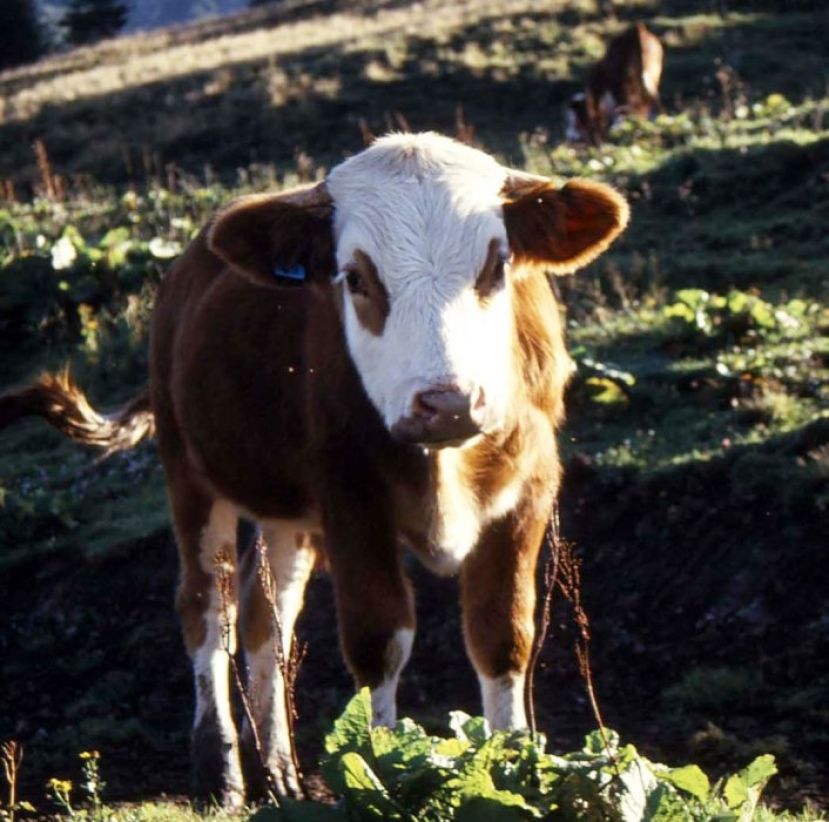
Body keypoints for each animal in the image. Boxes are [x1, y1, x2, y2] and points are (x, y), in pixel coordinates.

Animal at [3, 134, 628, 804]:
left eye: (496, 266)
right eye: (354, 277)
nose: (447, 402)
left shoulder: (528, 490)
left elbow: (502, 636)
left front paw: (516, 768)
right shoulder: (350, 498)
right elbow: (379, 641)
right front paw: (384, 772)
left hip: (290, 519)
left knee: (263, 617)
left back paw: (279, 770)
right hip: (190, 473)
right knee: (207, 609)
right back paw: (221, 770)